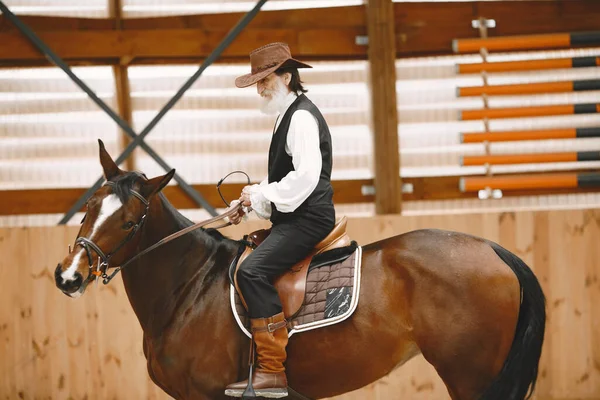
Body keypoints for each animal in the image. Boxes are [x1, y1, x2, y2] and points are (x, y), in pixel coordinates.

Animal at [54, 139, 548, 398]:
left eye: (129, 221)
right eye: (90, 206)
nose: (68, 275)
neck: (190, 289)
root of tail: (493, 249)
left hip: (472, 377)